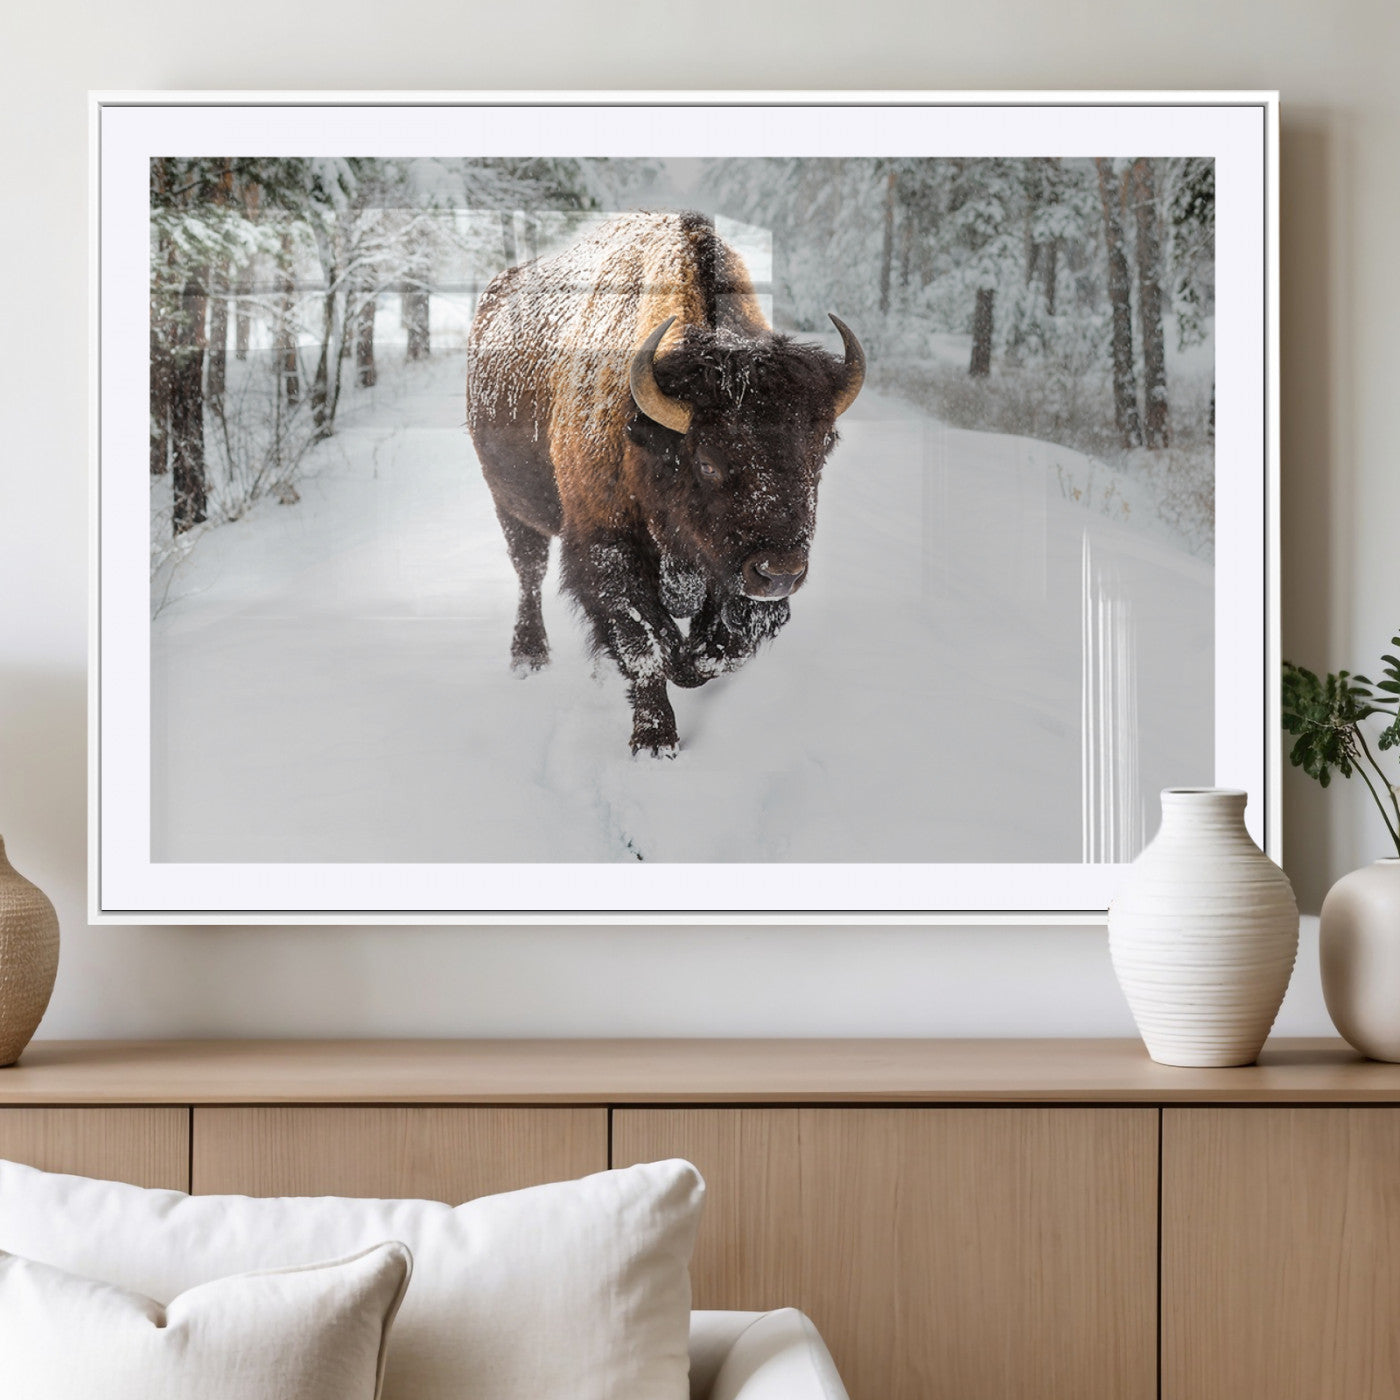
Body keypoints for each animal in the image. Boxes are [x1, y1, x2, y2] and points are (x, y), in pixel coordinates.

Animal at [466, 210, 864, 756]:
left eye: (821, 449)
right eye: (708, 462)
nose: (780, 572)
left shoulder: (727, 573)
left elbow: (721, 649)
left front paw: (688, 663)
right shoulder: (607, 548)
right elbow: (645, 645)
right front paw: (655, 741)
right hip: (509, 503)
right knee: (529, 571)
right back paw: (528, 657)